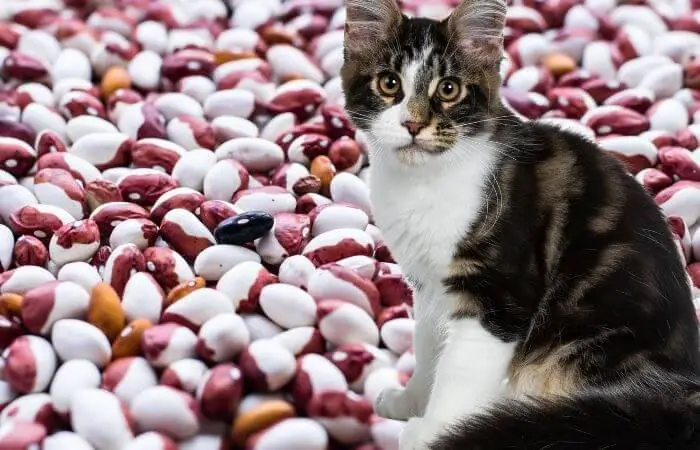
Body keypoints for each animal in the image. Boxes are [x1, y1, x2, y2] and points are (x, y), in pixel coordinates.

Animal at [340, 0, 700, 448]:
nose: (414, 124)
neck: (422, 181)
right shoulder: (428, 287)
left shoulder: (498, 295)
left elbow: (459, 372)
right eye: (389, 84)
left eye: (449, 89)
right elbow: (428, 348)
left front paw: (434, 432)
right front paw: (409, 402)